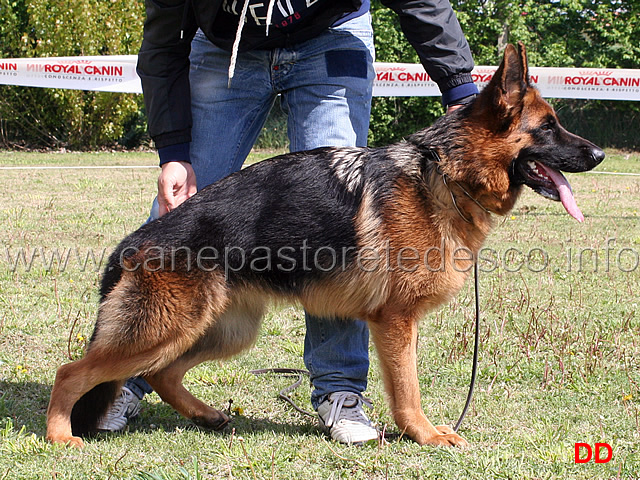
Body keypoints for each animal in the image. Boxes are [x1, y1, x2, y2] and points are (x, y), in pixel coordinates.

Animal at [46, 43, 604, 448]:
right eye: (548, 126)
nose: (599, 153)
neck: (445, 174)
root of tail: (134, 242)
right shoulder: (395, 321)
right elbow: (408, 389)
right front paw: (425, 436)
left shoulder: (397, 324)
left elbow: (405, 384)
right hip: (166, 328)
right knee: (72, 371)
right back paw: (60, 436)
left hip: (222, 331)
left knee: (161, 374)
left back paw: (205, 415)